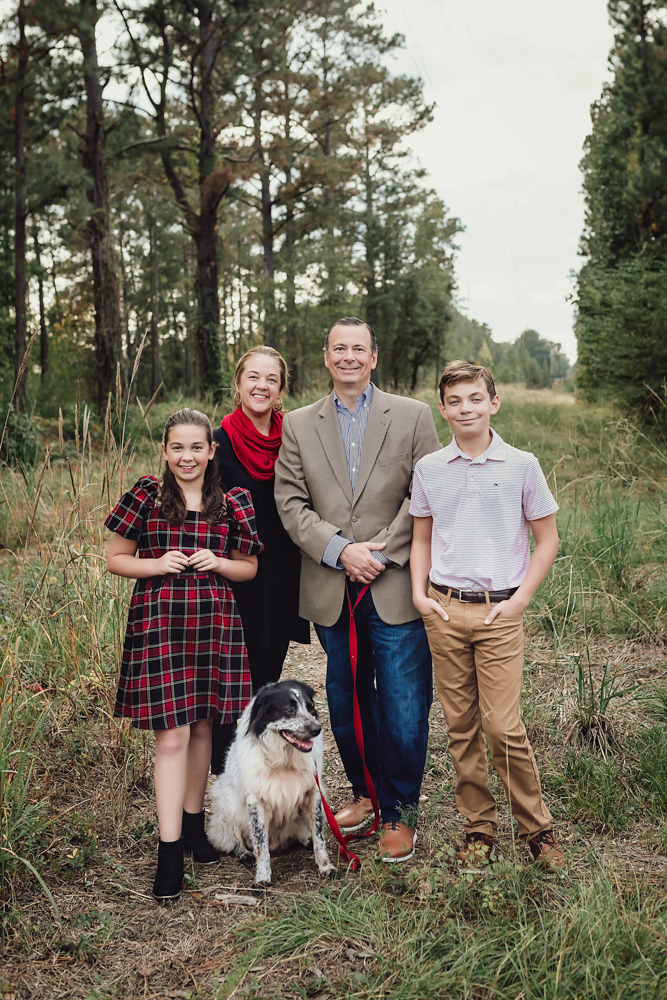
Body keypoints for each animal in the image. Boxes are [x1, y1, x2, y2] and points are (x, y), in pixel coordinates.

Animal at [209, 680, 336, 884]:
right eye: (290, 710)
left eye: (311, 708)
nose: (317, 730)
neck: (284, 760)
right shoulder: (255, 801)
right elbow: (261, 845)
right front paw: (262, 876)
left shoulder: (313, 794)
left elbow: (319, 836)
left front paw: (326, 866)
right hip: (227, 802)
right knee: (233, 840)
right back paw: (245, 854)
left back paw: (305, 842)